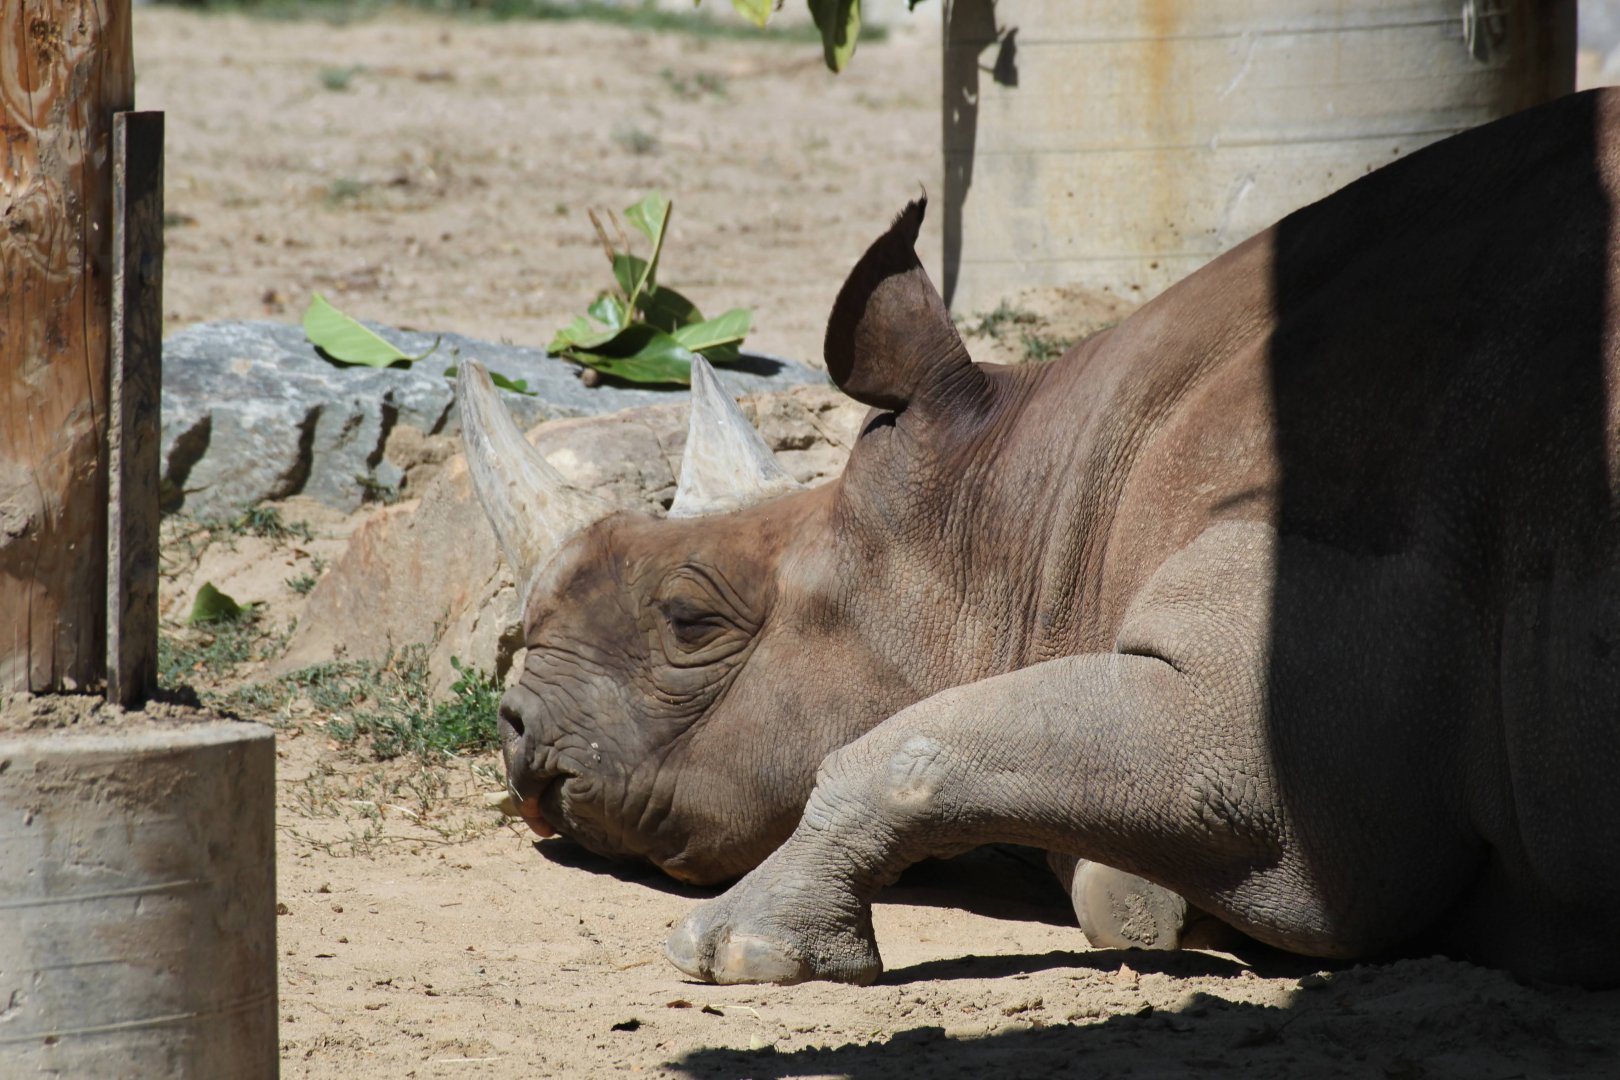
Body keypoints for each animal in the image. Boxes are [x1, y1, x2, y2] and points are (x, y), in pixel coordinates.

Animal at [459, 89, 1620, 988]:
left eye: (689, 619)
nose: (515, 727)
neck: (1029, 508)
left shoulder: (1291, 727)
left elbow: (908, 745)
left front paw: (732, 952)